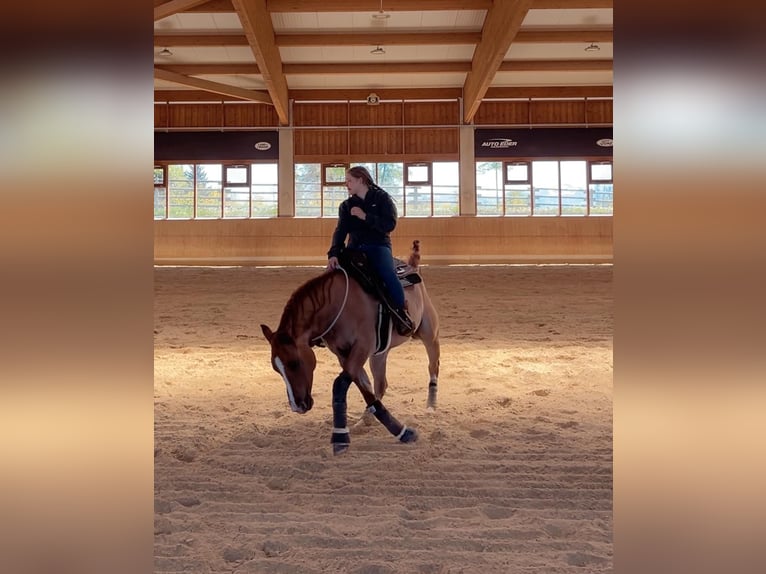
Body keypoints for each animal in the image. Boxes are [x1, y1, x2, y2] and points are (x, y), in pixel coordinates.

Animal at [260, 241, 440, 456]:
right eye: (276, 369)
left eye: (294, 363)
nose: (298, 406)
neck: (338, 304)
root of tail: (411, 264)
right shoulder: (344, 354)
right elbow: (365, 389)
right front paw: (400, 431)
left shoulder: (361, 348)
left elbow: (340, 384)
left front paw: (340, 437)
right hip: (379, 353)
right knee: (381, 384)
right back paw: (366, 419)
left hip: (428, 332)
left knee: (433, 365)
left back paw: (431, 405)